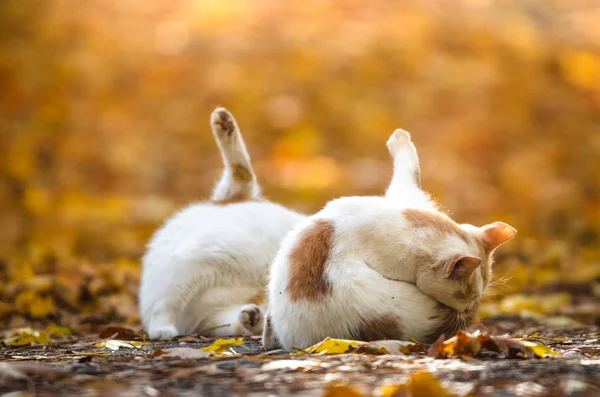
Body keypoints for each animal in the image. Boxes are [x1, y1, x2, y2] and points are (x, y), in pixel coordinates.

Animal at [140, 106, 304, 338]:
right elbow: (167, 303)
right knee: (240, 175)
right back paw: (224, 122)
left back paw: (251, 317)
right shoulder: (192, 261)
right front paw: (161, 329)